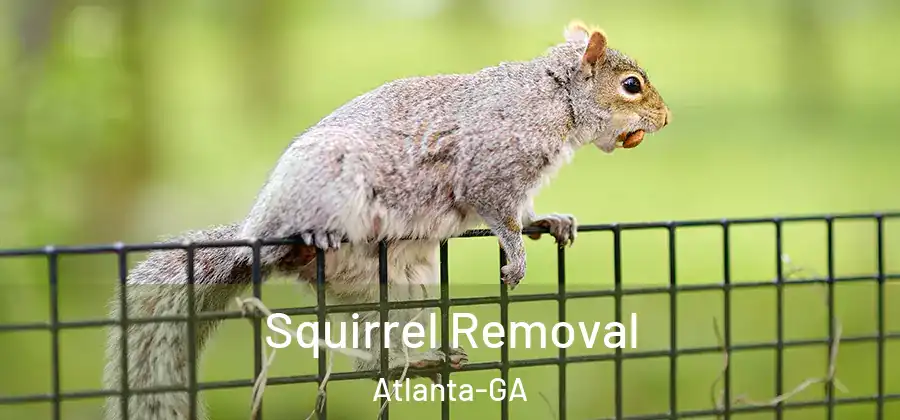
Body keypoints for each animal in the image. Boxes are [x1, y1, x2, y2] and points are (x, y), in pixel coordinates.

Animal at [102, 20, 670, 420]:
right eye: (631, 85)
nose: (665, 119)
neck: (554, 98)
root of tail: (253, 237)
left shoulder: (520, 184)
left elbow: (524, 211)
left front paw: (549, 222)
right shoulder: (489, 168)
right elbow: (498, 214)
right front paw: (516, 255)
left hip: (400, 289)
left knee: (373, 360)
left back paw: (417, 360)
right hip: (326, 186)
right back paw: (310, 239)